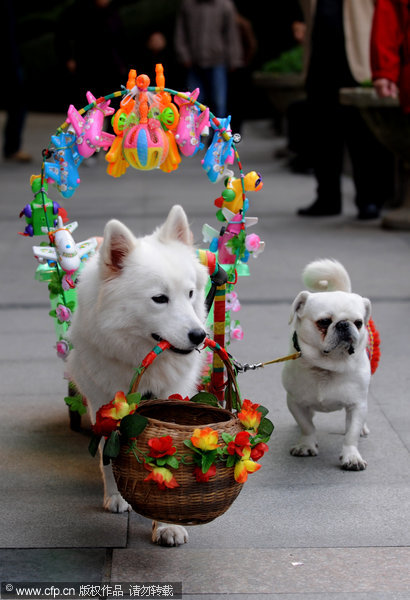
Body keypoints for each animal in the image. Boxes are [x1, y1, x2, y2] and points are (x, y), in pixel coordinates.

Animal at [69, 205, 208, 544]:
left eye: (190, 293)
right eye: (159, 298)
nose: (199, 335)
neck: (141, 356)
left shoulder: (171, 396)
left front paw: (168, 525)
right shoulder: (104, 401)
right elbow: (109, 451)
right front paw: (118, 496)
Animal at [284, 260, 374, 472]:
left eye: (358, 323)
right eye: (324, 322)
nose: (344, 324)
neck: (328, 366)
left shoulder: (357, 405)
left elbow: (351, 434)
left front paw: (351, 456)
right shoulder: (295, 401)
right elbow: (307, 426)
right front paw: (306, 445)